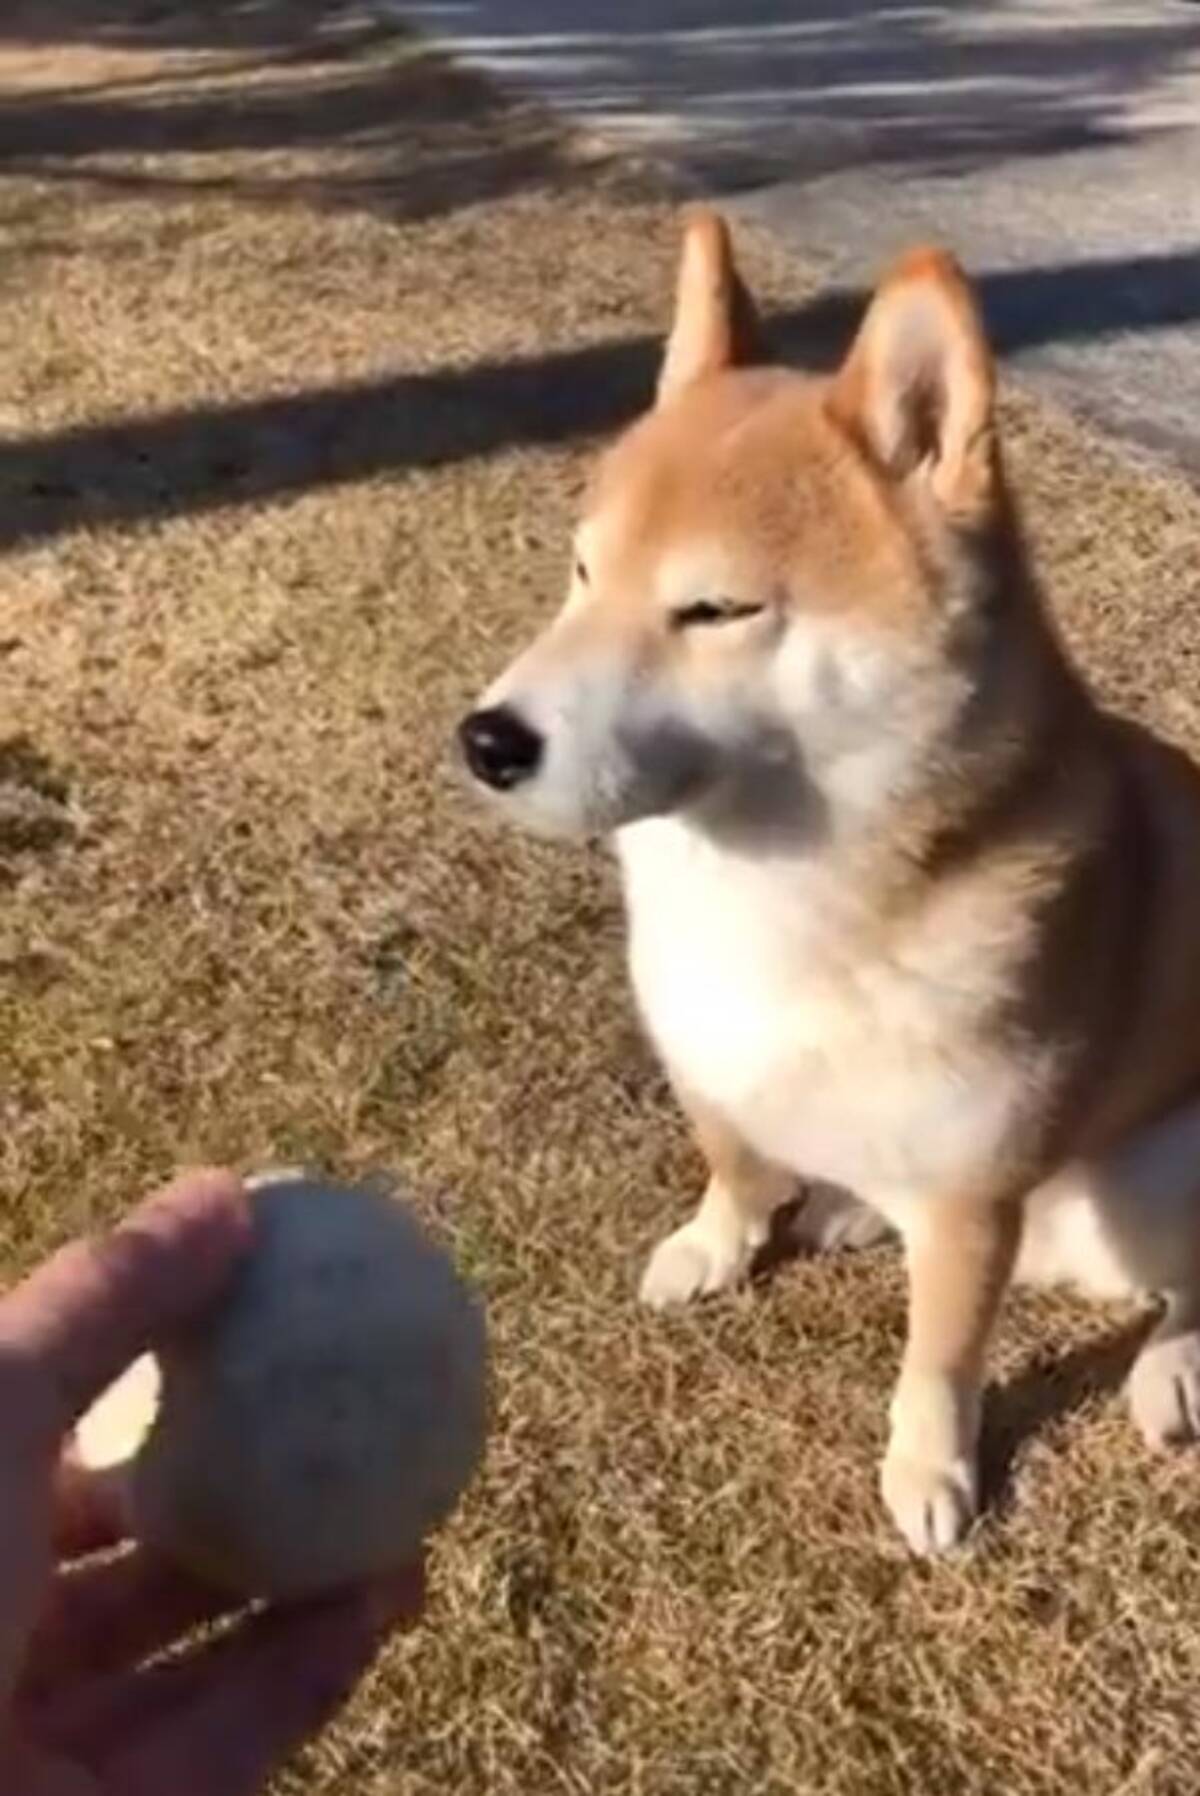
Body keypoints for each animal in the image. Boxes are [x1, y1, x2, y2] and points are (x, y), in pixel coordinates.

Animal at [463, 206, 1200, 1558]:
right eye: (582, 572)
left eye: (714, 609)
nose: (487, 740)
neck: (775, 898)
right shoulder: (708, 1052)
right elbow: (735, 1160)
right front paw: (718, 1242)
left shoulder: (973, 1193)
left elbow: (941, 1357)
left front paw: (930, 1468)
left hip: (1158, 1166)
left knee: (1190, 1286)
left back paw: (1171, 1365)